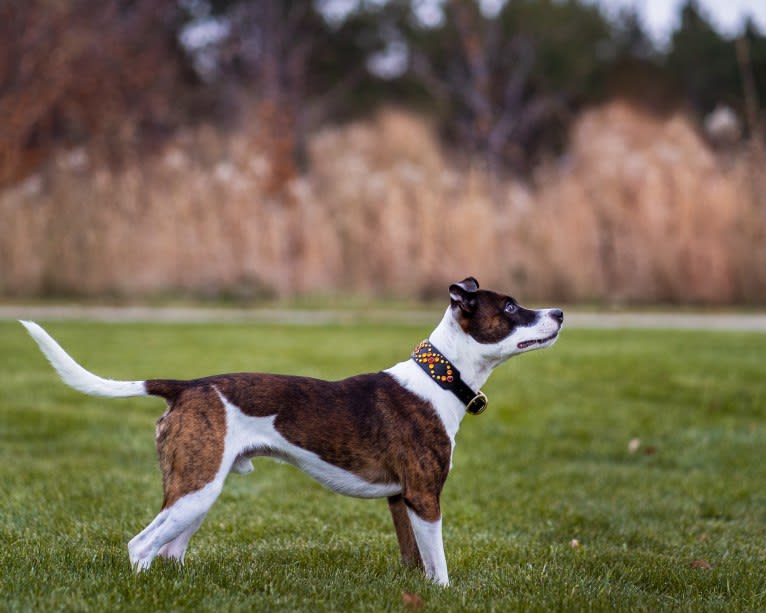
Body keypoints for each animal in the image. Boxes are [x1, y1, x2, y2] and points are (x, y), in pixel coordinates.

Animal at [21, 278, 564, 584]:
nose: (559, 312)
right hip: (195, 490)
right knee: (140, 546)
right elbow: (441, 566)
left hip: (198, 491)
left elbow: (418, 562)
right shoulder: (424, 497)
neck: (439, 377)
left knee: (168, 550)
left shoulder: (400, 500)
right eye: (510, 308)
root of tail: (184, 387)